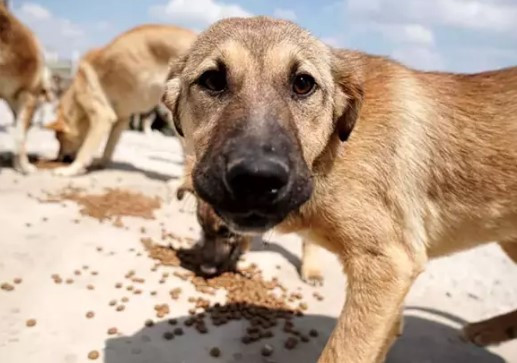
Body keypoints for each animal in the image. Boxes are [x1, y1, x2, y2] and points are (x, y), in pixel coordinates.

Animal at [0, 2, 52, 173]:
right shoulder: (28, 96)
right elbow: (20, 136)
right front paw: (25, 166)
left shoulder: (17, 100)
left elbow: (17, 132)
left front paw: (17, 164)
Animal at [47, 24, 196, 177]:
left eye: (60, 139)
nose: (59, 158)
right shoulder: (121, 119)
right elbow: (108, 147)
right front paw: (101, 163)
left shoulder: (102, 117)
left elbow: (85, 151)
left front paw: (71, 169)